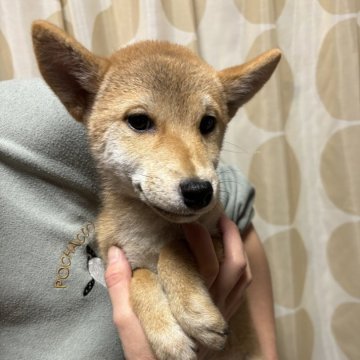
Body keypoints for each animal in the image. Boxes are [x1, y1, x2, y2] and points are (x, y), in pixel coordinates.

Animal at [32, 21, 280, 358]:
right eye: (139, 121)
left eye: (208, 123)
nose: (199, 190)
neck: (151, 231)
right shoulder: (120, 263)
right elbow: (140, 277)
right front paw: (167, 336)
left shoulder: (222, 243)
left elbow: (173, 249)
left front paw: (193, 310)